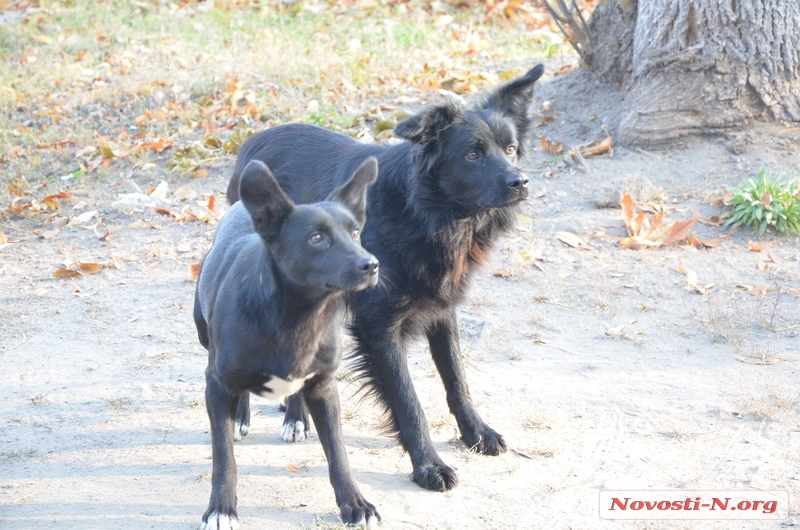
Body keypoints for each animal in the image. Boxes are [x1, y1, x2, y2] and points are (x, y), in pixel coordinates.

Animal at [194, 155, 382, 524]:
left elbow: (338, 453)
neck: (298, 318)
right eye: (317, 237)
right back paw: (241, 416)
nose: (372, 264)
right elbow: (223, 457)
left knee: (296, 391)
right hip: (202, 333)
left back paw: (296, 417)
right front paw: (221, 508)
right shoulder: (216, 383)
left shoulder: (324, 388)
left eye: (355, 232)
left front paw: (354, 503)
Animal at [228, 63, 548, 490]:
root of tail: (253, 141)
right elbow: (408, 401)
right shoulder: (378, 326)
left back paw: (296, 415)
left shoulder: (441, 309)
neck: (432, 215)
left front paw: (476, 433)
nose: (521, 182)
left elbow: (457, 379)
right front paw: (428, 465)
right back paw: (250, 415)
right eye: (472, 154)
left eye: (510, 149)